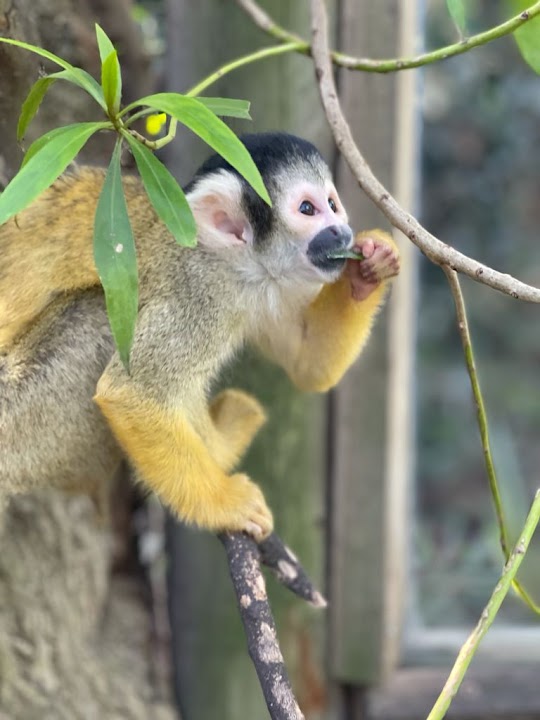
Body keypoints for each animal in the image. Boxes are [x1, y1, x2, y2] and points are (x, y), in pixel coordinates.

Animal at [0, 132, 400, 539]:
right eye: (308, 209)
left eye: (333, 205)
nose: (342, 231)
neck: (235, 265)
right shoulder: (195, 293)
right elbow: (130, 392)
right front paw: (225, 504)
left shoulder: (275, 287)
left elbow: (307, 367)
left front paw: (369, 267)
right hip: (21, 420)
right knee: (101, 317)